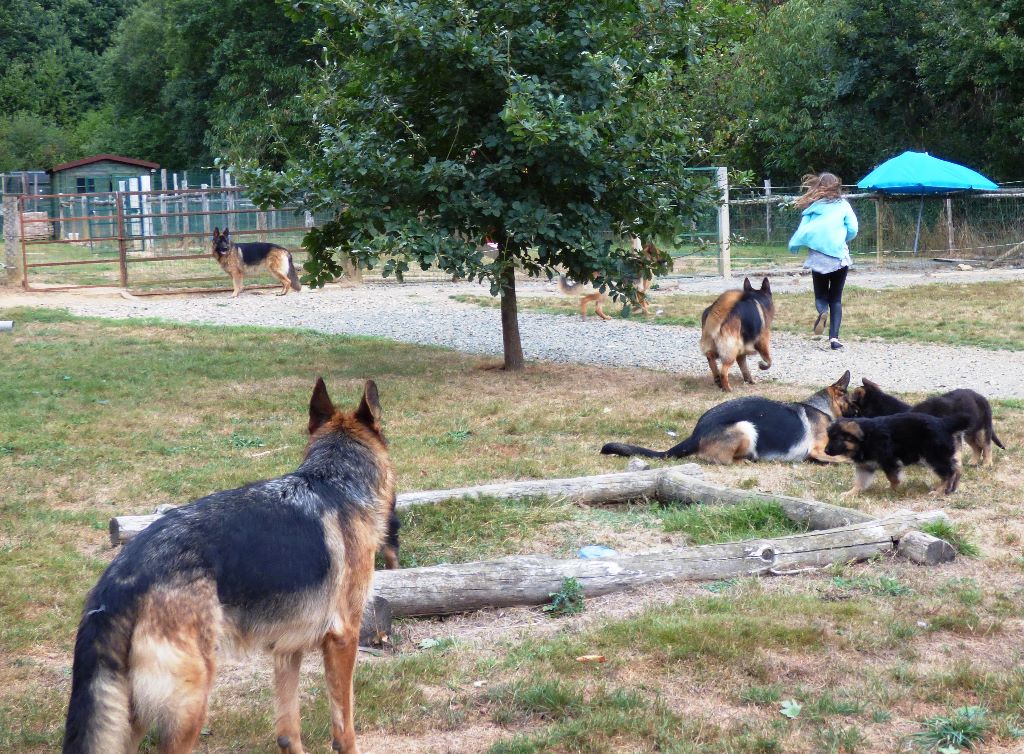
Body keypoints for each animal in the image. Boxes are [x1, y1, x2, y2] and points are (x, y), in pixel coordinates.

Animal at [60, 379, 395, 754]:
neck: (335, 481)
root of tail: (119, 581)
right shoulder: (343, 639)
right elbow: (345, 727)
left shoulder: (287, 649)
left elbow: (288, 729)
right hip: (190, 703)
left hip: (131, 715)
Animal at [598, 368, 856, 463]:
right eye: (855, 402)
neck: (821, 408)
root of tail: (696, 433)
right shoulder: (819, 450)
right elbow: (845, 459)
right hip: (745, 427)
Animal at [823, 411, 966, 495]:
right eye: (829, 437)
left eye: (836, 439)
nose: (826, 451)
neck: (865, 439)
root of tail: (945, 423)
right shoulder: (865, 466)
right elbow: (860, 482)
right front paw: (851, 493)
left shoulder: (889, 461)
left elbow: (892, 477)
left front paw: (893, 489)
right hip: (942, 455)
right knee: (956, 468)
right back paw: (951, 489)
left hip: (934, 456)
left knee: (948, 473)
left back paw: (939, 491)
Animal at [847, 379, 1007, 469]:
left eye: (856, 411)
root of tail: (980, 396)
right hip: (969, 433)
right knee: (977, 447)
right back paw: (973, 462)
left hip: (983, 429)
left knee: (986, 446)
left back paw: (987, 463)